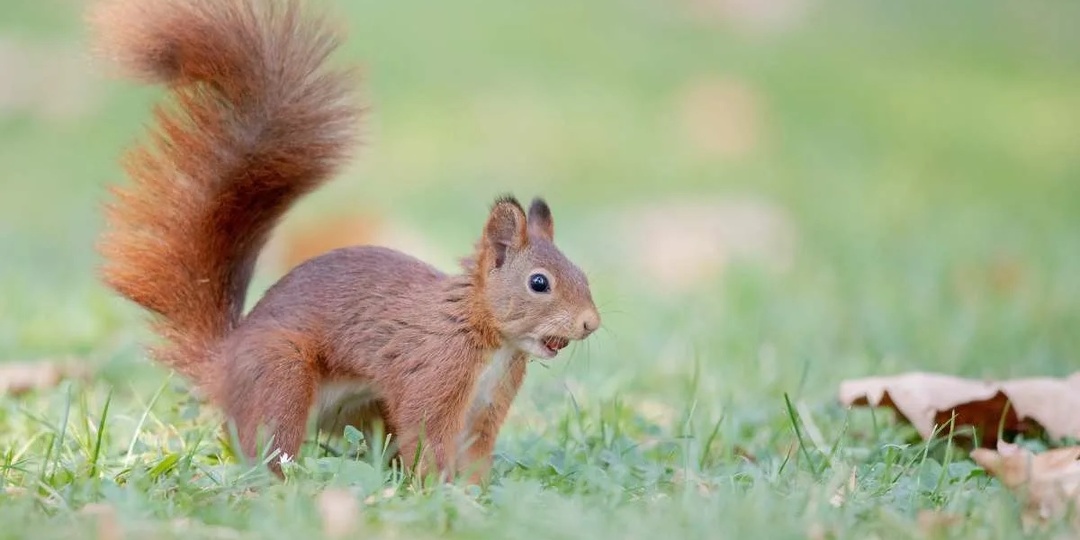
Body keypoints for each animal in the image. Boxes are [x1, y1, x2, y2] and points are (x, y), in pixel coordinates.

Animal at [90, 0, 601, 482]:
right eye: (539, 283)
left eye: (583, 273)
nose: (591, 324)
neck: (484, 333)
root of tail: (225, 365)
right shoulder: (432, 376)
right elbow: (428, 440)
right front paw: (441, 492)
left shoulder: (486, 405)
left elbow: (474, 455)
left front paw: (476, 495)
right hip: (281, 377)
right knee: (269, 448)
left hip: (361, 409)